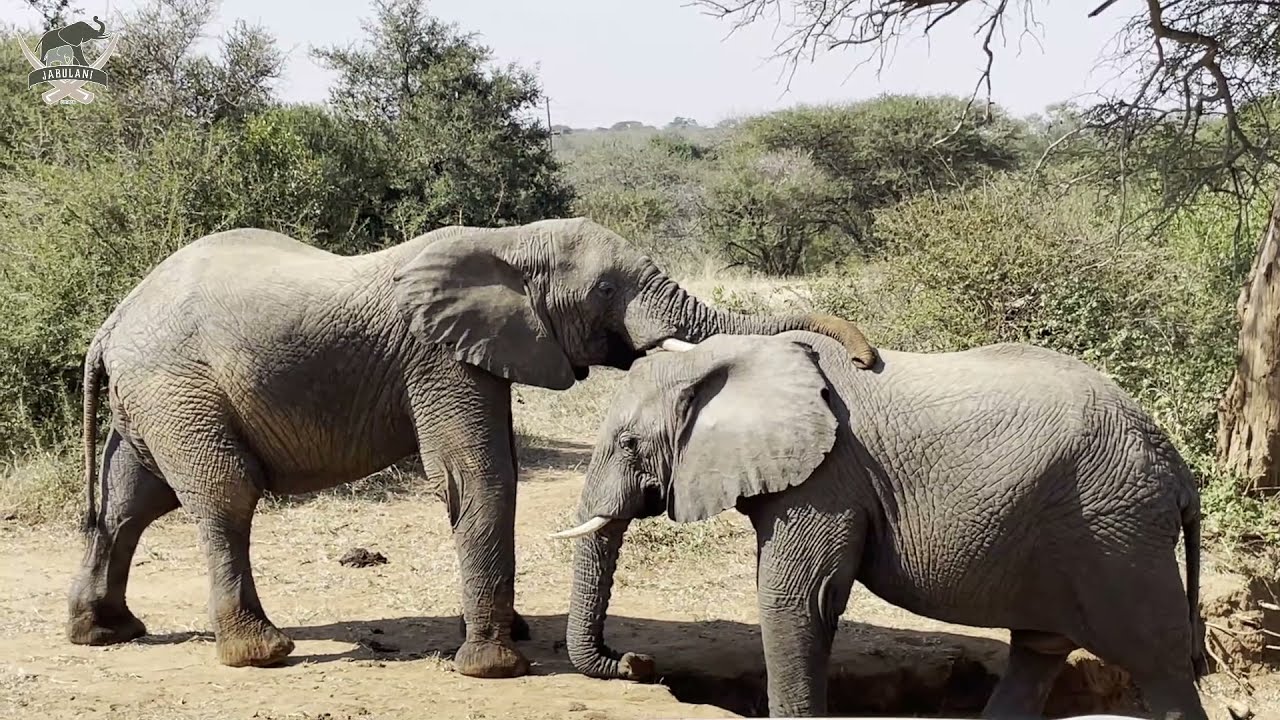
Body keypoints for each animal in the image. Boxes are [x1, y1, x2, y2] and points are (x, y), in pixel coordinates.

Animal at [68, 218, 877, 679]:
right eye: (606, 290)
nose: (866, 359)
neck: (508, 241)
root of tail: (111, 322)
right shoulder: (438, 354)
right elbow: (478, 474)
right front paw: (495, 665)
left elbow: (495, 468)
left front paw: (506, 637)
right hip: (178, 383)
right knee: (223, 493)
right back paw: (262, 654)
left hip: (157, 391)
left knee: (128, 499)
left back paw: (104, 633)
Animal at [553, 332, 1208, 719]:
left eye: (630, 444)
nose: (638, 663)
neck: (734, 353)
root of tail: (1180, 471)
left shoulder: (829, 476)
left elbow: (796, 599)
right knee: (1038, 651)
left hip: (1117, 535)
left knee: (1161, 664)